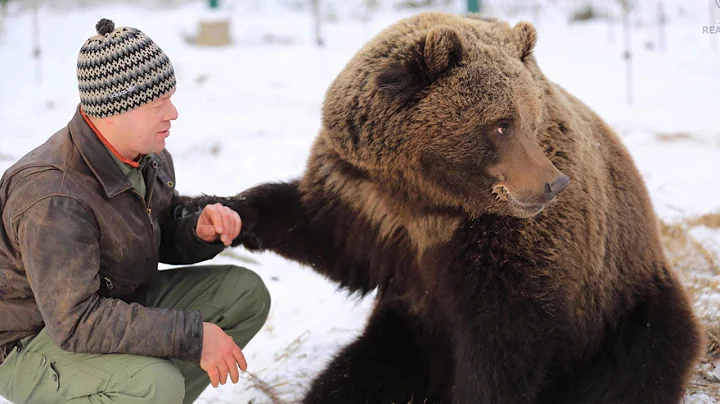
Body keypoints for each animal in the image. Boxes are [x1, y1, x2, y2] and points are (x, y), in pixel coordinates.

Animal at [180, 11, 704, 402]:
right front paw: (214, 210)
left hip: (624, 311)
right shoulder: (365, 205)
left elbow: (504, 349)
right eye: (501, 124)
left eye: (530, 118)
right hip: (407, 331)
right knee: (357, 373)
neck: (429, 199)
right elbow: (316, 231)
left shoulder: (505, 249)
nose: (553, 184)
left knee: (636, 369)